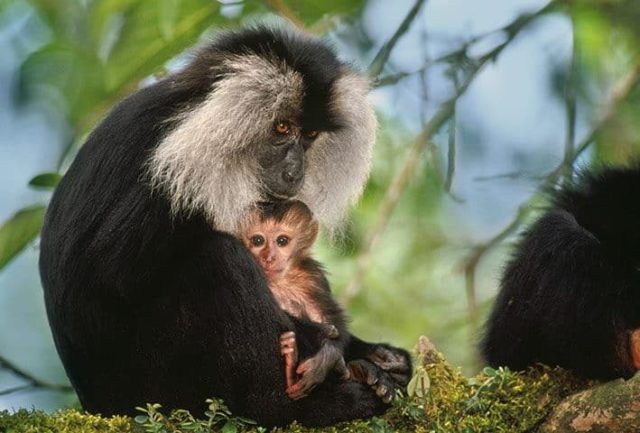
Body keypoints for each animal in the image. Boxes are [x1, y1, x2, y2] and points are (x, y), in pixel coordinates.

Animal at [39, 25, 412, 427]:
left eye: (310, 136)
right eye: (282, 127)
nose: (295, 171)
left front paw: (377, 355)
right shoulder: (169, 171)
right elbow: (111, 274)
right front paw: (327, 349)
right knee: (218, 258)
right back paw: (292, 405)